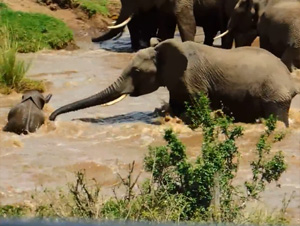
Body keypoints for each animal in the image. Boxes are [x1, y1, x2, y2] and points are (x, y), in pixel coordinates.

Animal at [48, 39, 298, 126]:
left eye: (136, 71)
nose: (51, 118)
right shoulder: (177, 82)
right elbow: (177, 104)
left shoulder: (194, 78)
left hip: (275, 94)